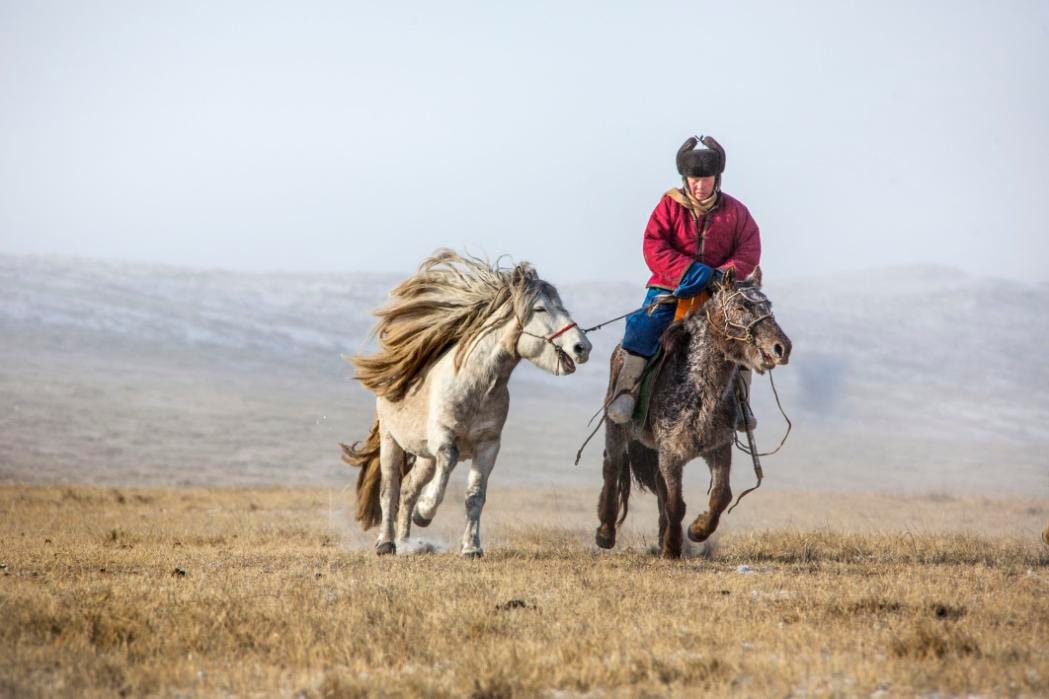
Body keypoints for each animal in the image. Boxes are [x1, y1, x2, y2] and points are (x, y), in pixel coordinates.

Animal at [341, 250, 591, 554]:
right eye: (541, 309)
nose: (582, 347)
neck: (477, 386)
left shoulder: (488, 446)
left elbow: (475, 496)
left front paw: (472, 547)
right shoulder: (444, 439)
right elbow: (447, 465)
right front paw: (425, 513)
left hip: (424, 456)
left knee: (409, 488)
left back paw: (406, 543)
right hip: (392, 441)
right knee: (390, 489)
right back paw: (386, 543)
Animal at [595, 266, 788, 554]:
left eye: (768, 306)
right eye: (741, 306)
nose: (781, 347)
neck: (699, 391)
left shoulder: (718, 449)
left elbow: (721, 495)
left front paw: (696, 531)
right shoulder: (671, 455)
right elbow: (676, 503)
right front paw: (673, 548)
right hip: (617, 429)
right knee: (612, 467)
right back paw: (606, 532)